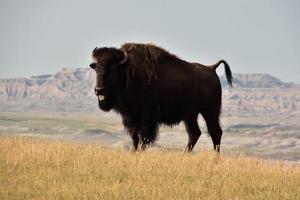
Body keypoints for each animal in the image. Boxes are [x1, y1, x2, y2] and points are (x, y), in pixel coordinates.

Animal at [90, 42, 233, 152]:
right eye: (96, 68)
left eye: (113, 68)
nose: (99, 90)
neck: (128, 72)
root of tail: (211, 68)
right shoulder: (131, 118)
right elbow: (135, 138)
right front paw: (134, 152)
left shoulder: (146, 118)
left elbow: (144, 138)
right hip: (190, 115)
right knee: (195, 133)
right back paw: (185, 154)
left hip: (210, 111)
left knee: (215, 132)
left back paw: (215, 158)